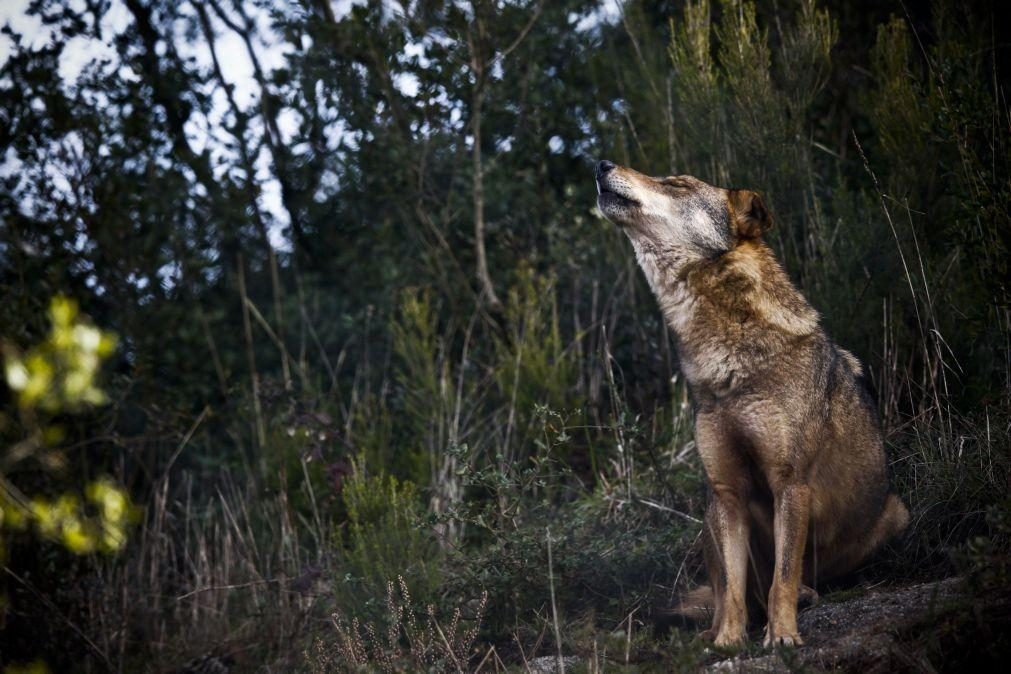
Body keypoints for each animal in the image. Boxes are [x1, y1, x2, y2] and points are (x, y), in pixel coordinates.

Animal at [594, 159, 913, 646]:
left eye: (676, 183)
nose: (600, 164)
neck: (725, 362)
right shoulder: (728, 492)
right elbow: (733, 587)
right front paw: (728, 641)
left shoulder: (790, 483)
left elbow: (782, 576)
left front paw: (782, 637)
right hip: (709, 512)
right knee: (727, 590)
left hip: (897, 514)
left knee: (799, 580)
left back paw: (809, 595)